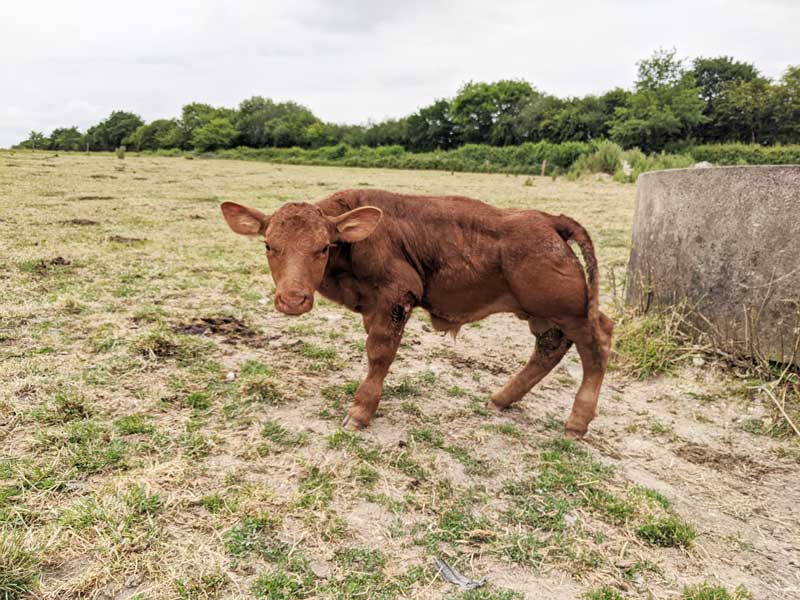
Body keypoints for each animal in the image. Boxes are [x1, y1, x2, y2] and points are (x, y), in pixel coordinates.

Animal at [219, 188, 612, 436]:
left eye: (323, 247)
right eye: (269, 245)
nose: (293, 299)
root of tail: (548, 219)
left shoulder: (397, 295)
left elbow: (379, 353)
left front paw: (360, 411)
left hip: (571, 311)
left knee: (598, 344)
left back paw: (577, 422)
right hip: (544, 314)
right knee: (550, 348)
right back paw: (501, 399)